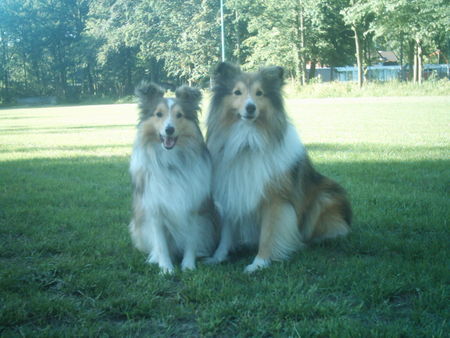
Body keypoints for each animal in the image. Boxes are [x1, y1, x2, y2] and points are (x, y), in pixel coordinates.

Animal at [129, 82, 217, 274]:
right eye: (158, 114)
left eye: (179, 115)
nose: (169, 129)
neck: (171, 163)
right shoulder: (155, 210)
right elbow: (161, 244)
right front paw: (166, 268)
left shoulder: (192, 208)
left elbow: (191, 240)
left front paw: (188, 265)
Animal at [207, 63, 352, 274]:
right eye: (237, 92)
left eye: (259, 93)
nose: (250, 107)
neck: (248, 142)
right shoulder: (233, 194)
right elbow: (226, 234)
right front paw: (218, 257)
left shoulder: (275, 200)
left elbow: (268, 233)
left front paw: (259, 263)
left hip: (325, 198)